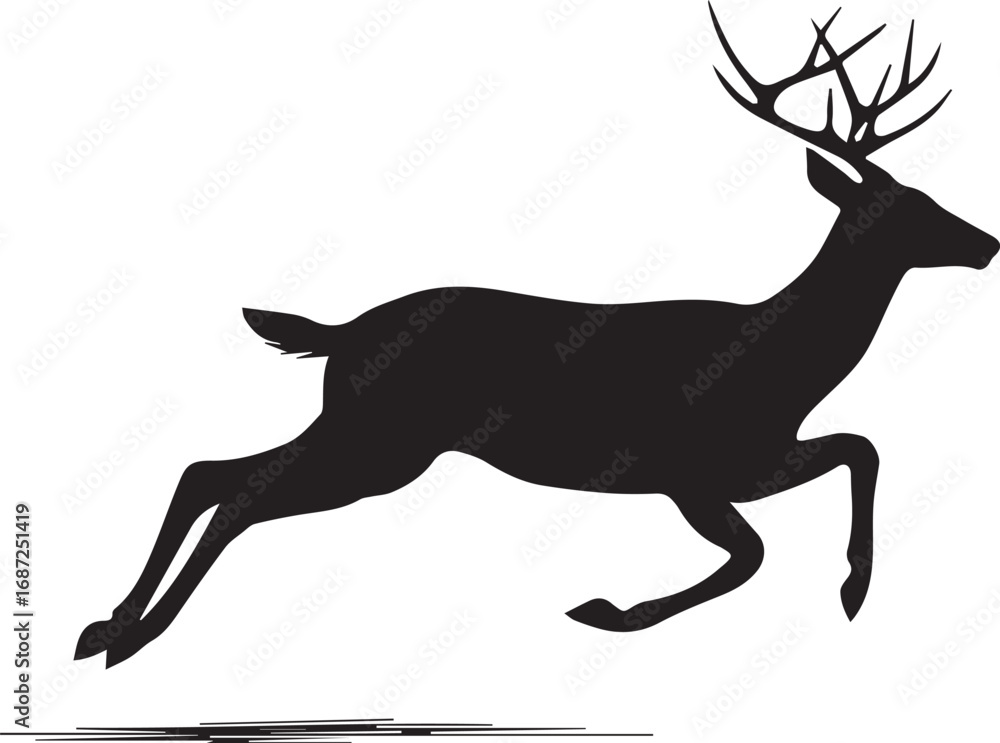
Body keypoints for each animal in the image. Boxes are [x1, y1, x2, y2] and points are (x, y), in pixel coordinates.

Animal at [76, 5, 997, 668]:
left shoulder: (754, 458)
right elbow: (754, 553)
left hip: (366, 434)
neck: (782, 368)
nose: (986, 242)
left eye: (928, 195)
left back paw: (109, 624)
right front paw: (611, 611)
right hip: (381, 442)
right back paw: (133, 637)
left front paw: (854, 587)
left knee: (210, 471)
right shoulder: (684, 468)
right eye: (905, 208)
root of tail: (343, 332)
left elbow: (858, 449)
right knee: (237, 487)